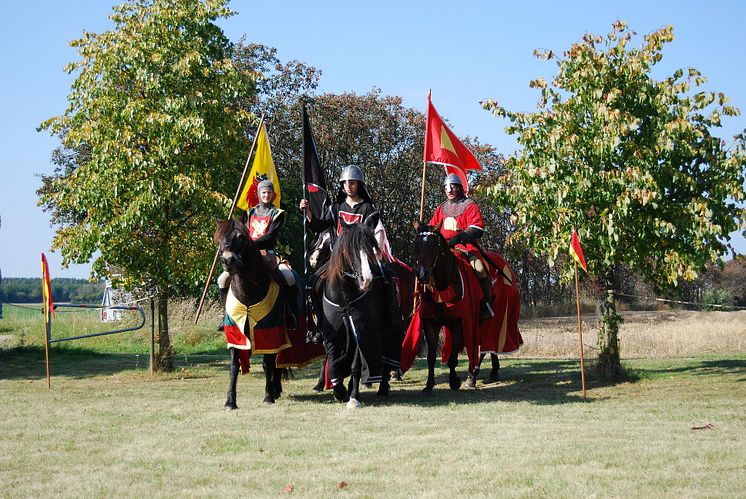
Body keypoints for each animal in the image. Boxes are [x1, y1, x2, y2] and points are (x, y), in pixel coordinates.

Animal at [320, 225, 402, 408]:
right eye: (350, 249)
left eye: (371, 248)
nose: (367, 280)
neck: (345, 294)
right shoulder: (333, 332)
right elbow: (333, 362)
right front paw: (339, 392)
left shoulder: (361, 328)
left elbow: (356, 366)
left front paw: (354, 397)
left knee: (385, 360)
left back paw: (382, 388)